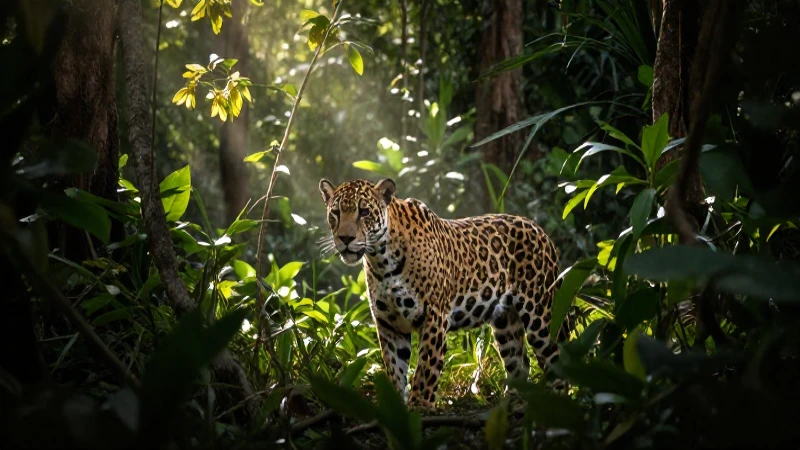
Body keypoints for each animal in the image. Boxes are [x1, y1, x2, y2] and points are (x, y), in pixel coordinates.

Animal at [318, 177, 574, 409]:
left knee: (557, 358)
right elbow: (395, 370)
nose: (345, 239)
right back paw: (510, 406)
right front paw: (395, 410)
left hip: (541, 314)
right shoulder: (389, 325)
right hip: (505, 322)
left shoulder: (434, 317)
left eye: (363, 212)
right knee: (520, 363)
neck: (382, 261)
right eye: (336, 213)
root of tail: (542, 232)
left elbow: (425, 370)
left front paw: (419, 409)